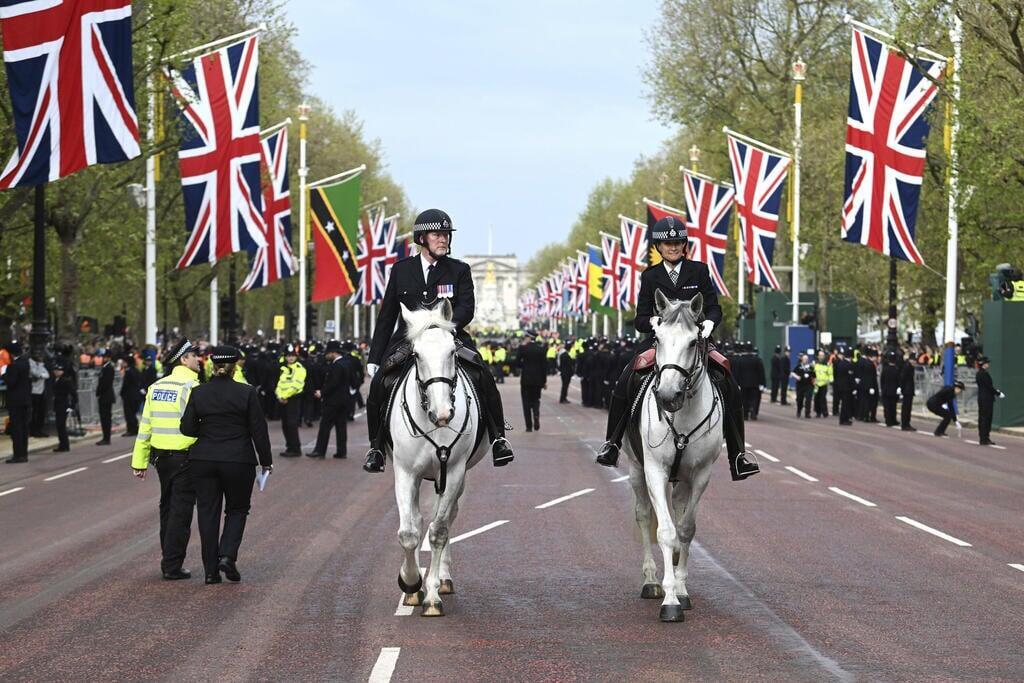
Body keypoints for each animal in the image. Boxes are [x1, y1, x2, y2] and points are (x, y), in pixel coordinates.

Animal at [391, 301, 487, 618]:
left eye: (452, 352)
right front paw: (410, 583)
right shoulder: (405, 472)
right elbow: (409, 532)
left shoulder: (454, 472)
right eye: (416, 355)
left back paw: (443, 578)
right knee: (421, 519)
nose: (443, 413)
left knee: (446, 518)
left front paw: (431, 595)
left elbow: (438, 532)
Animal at [618, 290, 724, 622]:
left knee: (678, 509)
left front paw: (680, 589)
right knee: (643, 514)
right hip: (635, 467)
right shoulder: (654, 469)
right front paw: (669, 600)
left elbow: (686, 529)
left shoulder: (701, 473)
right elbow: (664, 531)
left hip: (683, 478)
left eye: (692, 342)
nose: (667, 396)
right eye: (658, 338)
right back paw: (651, 580)